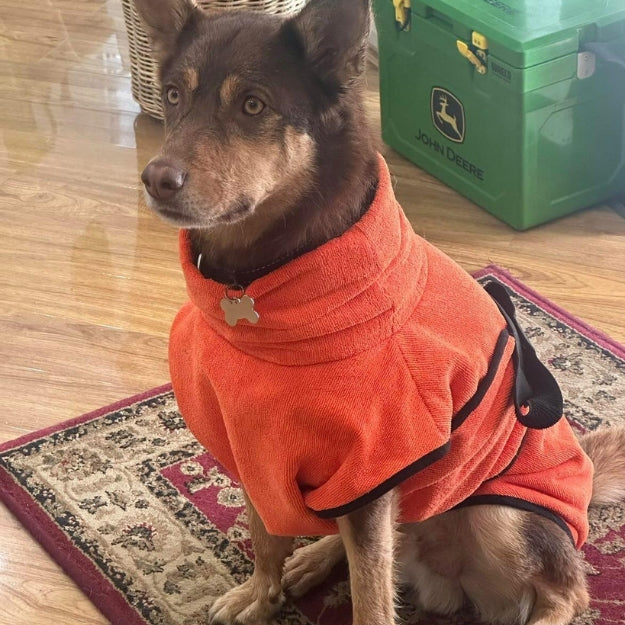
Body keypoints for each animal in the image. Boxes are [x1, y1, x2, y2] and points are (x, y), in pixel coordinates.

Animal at [133, 1, 624, 624]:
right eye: (173, 95)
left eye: (253, 105)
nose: (156, 179)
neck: (255, 286)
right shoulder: (253, 445)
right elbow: (266, 534)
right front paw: (262, 594)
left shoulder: (374, 471)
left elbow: (368, 596)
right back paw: (313, 558)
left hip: (496, 515)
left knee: (566, 588)